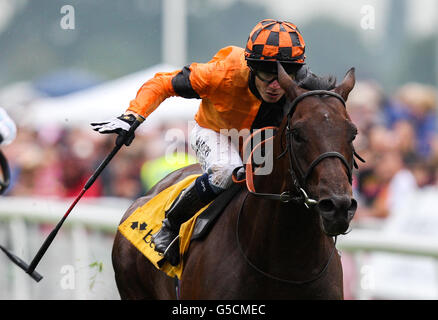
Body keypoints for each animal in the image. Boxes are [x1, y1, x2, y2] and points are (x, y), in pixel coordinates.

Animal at [112, 63, 360, 298]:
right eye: (297, 133)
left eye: (353, 133)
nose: (337, 206)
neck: (284, 262)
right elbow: (171, 82)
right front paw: (127, 123)